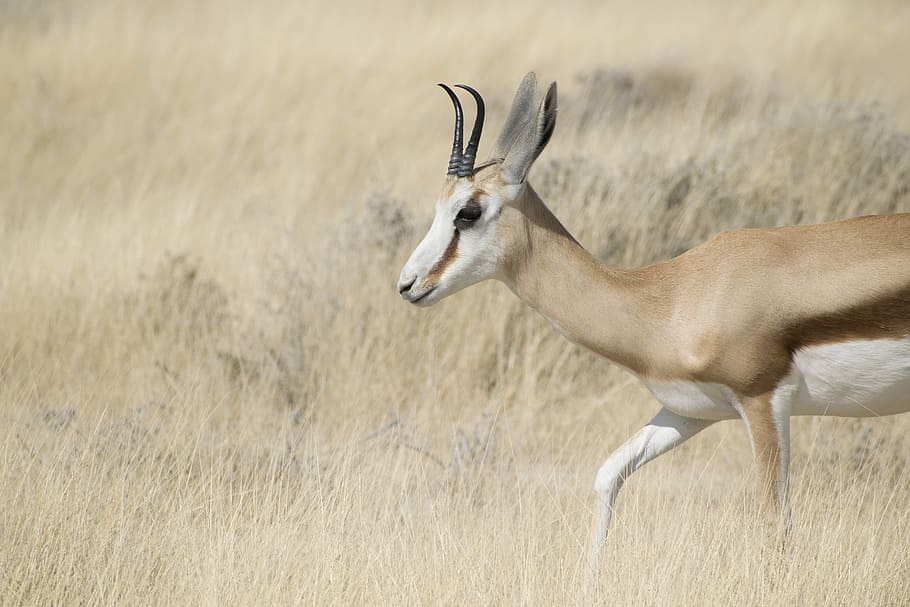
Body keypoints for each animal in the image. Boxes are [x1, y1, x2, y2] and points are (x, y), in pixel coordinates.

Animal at [396, 72, 910, 589]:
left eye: (468, 212)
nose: (407, 284)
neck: (672, 297)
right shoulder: (688, 411)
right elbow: (608, 473)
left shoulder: (764, 402)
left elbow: (775, 523)